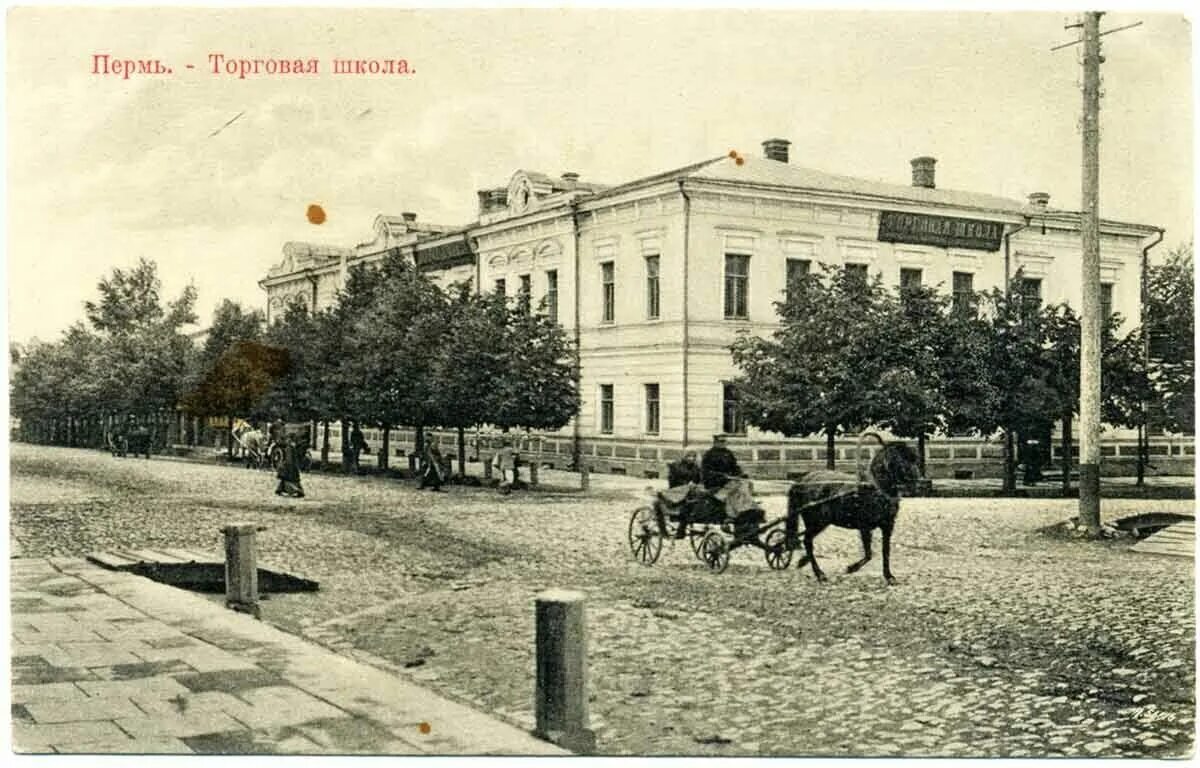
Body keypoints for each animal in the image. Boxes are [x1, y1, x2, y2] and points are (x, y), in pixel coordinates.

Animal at [628, 434, 916, 578]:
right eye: (900, 460)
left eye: (912, 458)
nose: (917, 481)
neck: (875, 488)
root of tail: (803, 481)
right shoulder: (865, 526)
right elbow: (868, 554)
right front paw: (850, 568)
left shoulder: (886, 526)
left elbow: (883, 552)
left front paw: (889, 576)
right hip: (817, 520)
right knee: (808, 541)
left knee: (796, 540)